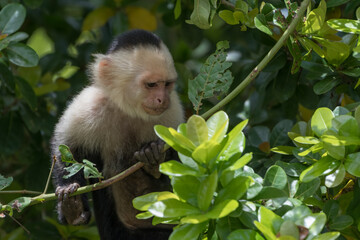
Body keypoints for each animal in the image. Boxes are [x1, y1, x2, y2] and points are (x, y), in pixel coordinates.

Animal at [51, 30, 183, 240]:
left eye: (167, 84)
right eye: (151, 84)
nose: (162, 99)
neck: (130, 110)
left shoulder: (173, 111)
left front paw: (154, 156)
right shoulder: (90, 103)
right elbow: (67, 146)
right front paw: (73, 206)